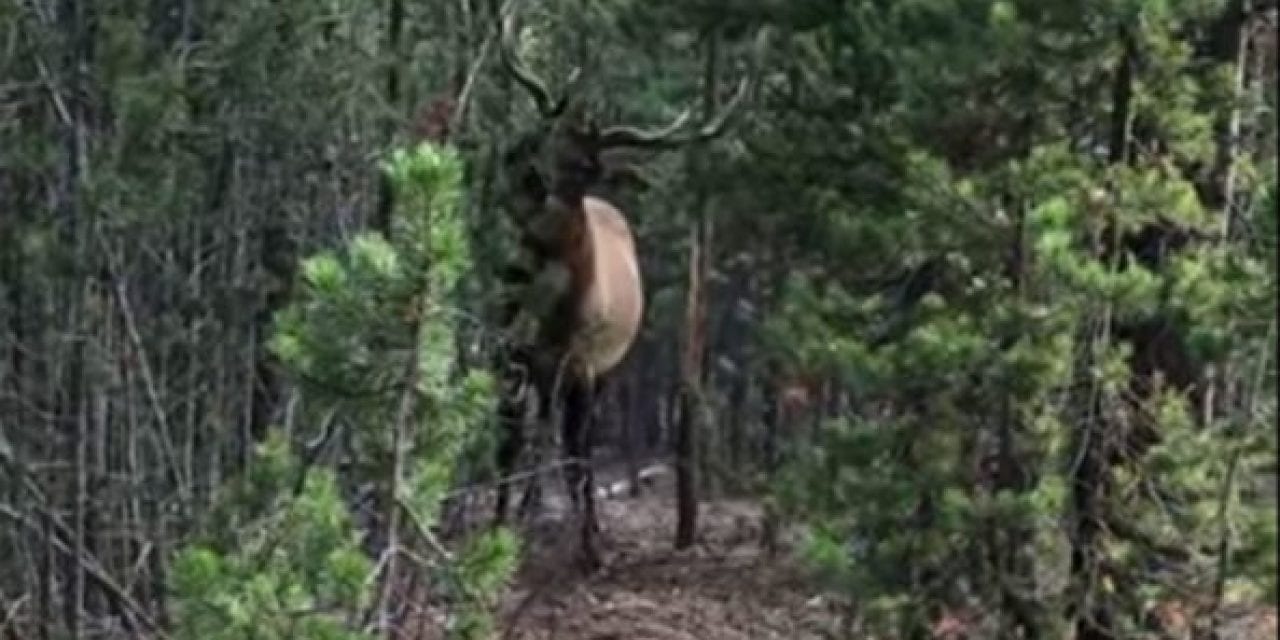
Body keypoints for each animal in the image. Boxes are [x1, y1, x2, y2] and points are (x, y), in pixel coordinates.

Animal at [488, 2, 768, 568]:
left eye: (587, 166)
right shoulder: (516, 353)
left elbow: (573, 454)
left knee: (574, 444)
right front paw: (496, 529)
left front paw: (588, 546)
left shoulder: (583, 365)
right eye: (545, 138)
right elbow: (509, 443)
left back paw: (581, 525)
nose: (528, 187)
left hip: (599, 373)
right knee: (539, 432)